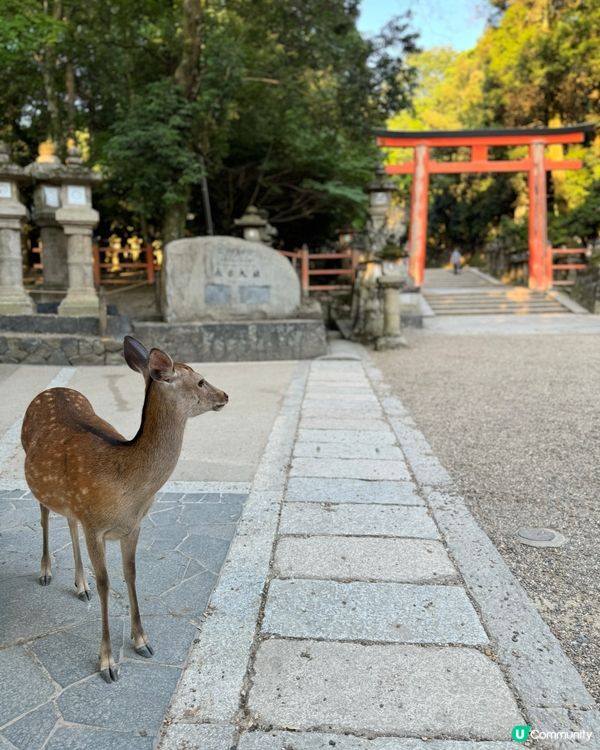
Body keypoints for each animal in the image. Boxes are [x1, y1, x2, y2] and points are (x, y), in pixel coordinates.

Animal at [21, 336, 228, 683]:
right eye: (200, 380)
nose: (225, 395)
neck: (128, 489)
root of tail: (50, 390)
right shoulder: (95, 526)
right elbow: (106, 584)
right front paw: (107, 662)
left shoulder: (132, 526)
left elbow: (131, 574)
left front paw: (142, 641)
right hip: (38, 477)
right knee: (45, 514)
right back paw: (46, 571)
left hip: (72, 500)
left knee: (68, 520)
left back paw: (80, 585)